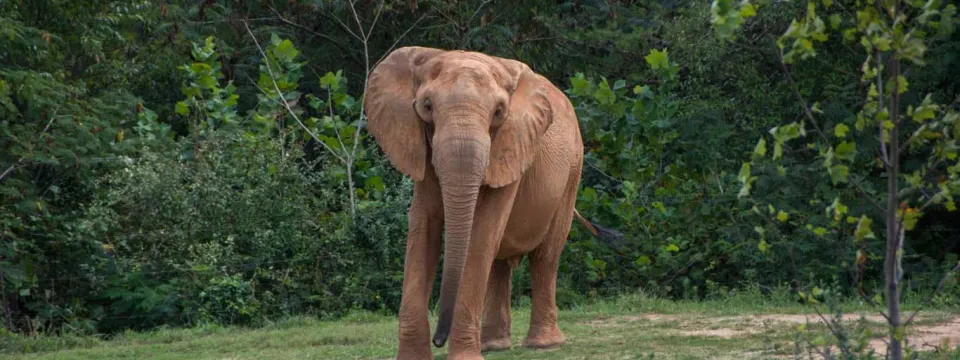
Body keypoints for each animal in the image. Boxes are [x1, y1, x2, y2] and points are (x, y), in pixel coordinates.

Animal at [364, 45, 620, 360]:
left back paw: (544, 344)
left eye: (499, 113)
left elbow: (481, 234)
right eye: (426, 106)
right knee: (499, 263)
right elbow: (423, 231)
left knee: (545, 256)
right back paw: (494, 345)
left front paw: (465, 358)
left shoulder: (512, 146)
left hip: (573, 170)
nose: (439, 340)